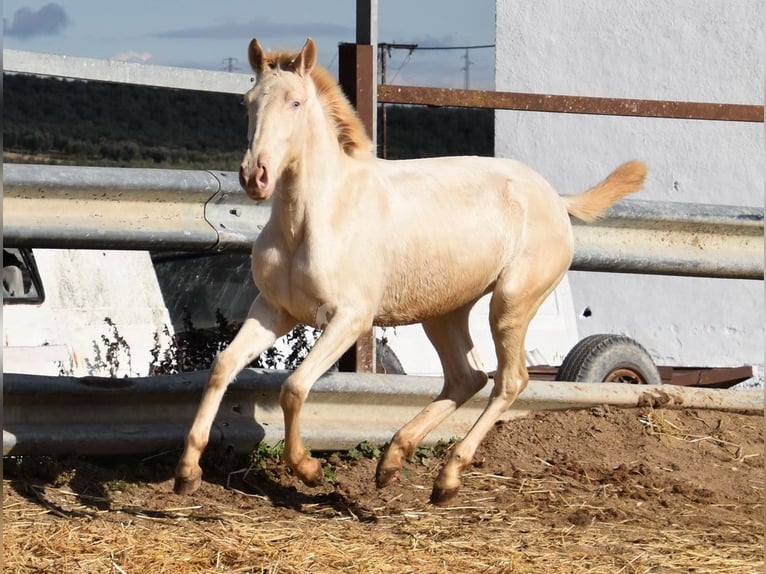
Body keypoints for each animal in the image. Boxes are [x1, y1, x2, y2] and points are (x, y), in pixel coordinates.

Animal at [174, 37, 648, 508]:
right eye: (248, 102)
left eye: (295, 102)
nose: (255, 176)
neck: (316, 216)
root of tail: (556, 198)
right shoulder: (274, 310)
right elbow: (221, 366)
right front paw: (187, 472)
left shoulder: (350, 319)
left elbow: (293, 387)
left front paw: (307, 469)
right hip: (444, 312)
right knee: (466, 377)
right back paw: (392, 462)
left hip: (510, 303)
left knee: (508, 381)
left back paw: (447, 477)